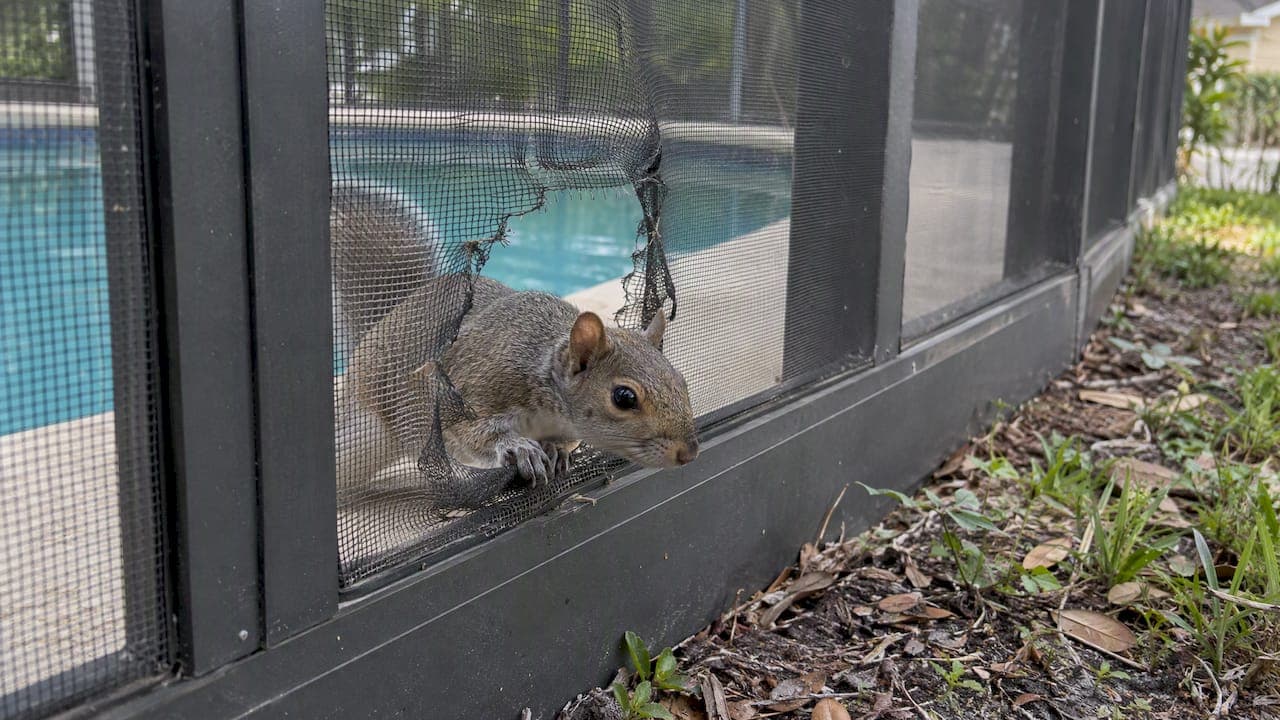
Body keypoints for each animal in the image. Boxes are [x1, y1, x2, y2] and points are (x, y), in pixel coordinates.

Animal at [331, 183, 699, 507]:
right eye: (624, 397)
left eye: (681, 380)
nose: (689, 452)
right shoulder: (475, 389)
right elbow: (475, 433)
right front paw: (520, 449)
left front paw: (557, 450)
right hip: (377, 424)